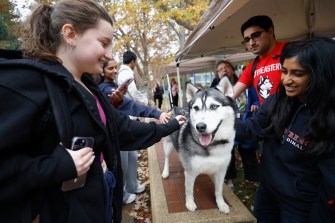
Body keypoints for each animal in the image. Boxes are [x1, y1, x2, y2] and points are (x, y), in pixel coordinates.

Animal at [162, 77, 236, 213]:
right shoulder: (190, 172)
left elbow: (219, 190)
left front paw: (221, 203)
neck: (213, 145)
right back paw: (165, 172)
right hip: (168, 145)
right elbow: (189, 190)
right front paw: (190, 203)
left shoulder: (221, 171)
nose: (200, 127)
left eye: (214, 106)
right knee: (166, 158)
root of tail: (175, 107)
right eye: (196, 108)